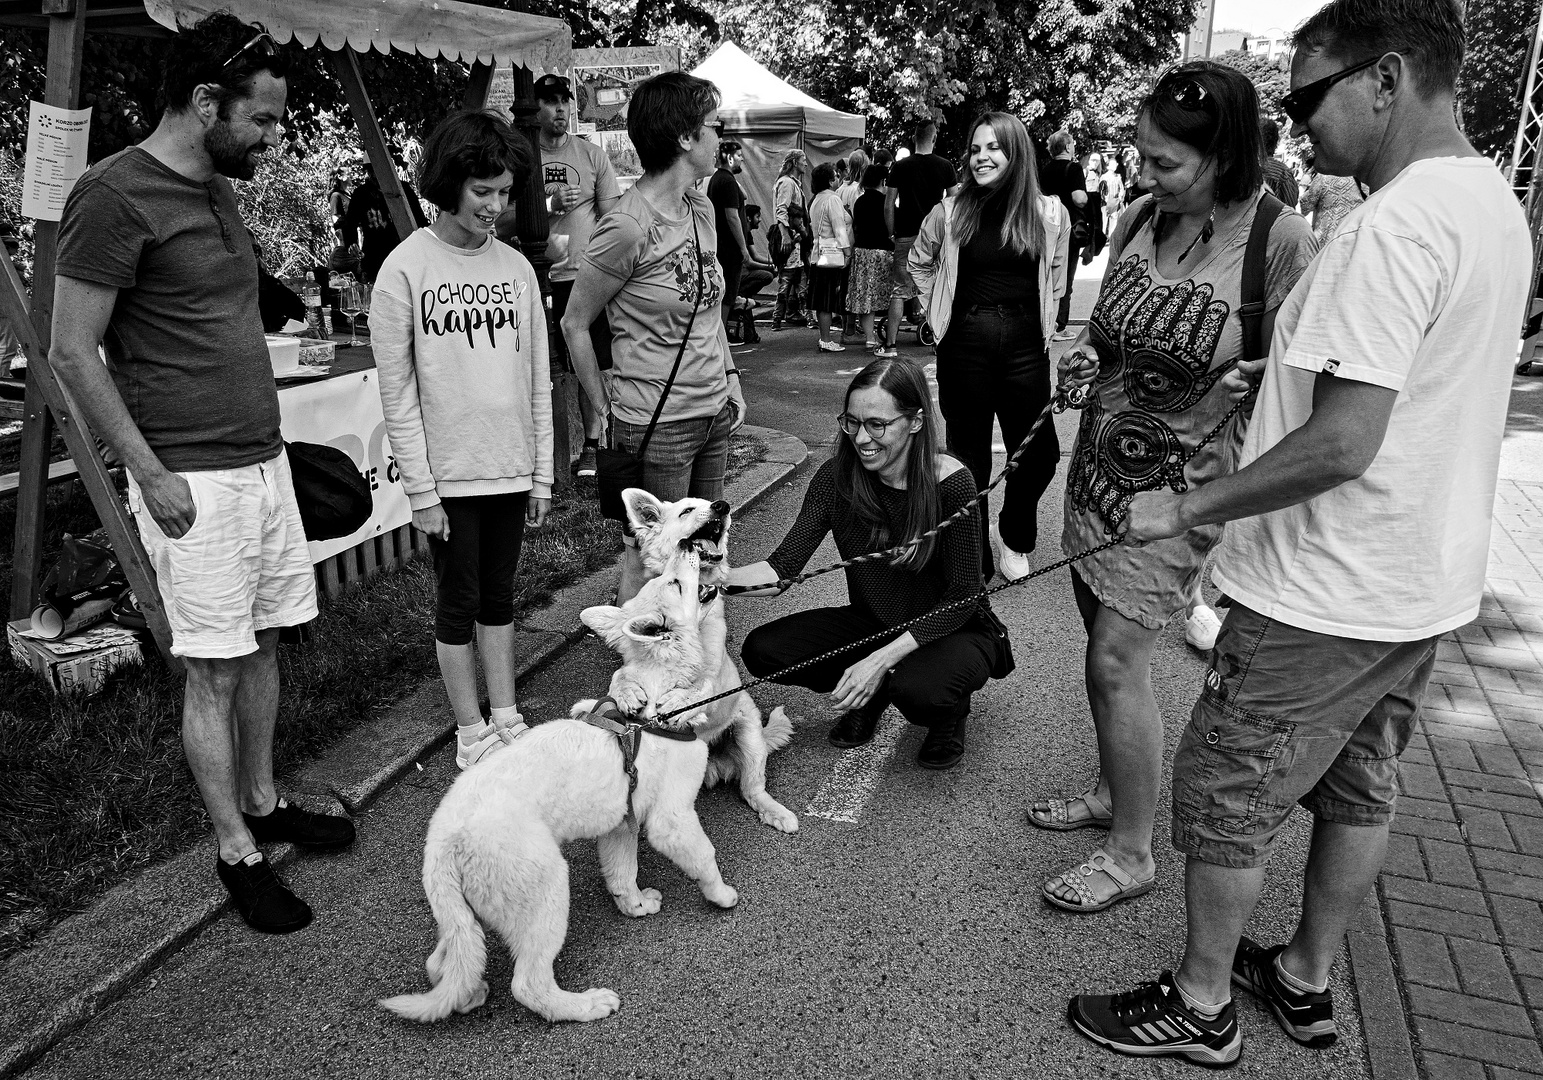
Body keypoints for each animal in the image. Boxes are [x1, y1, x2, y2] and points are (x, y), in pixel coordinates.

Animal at [374, 552, 734, 1024]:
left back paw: (471, 993)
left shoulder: (620, 824)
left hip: (465, 914)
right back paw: (586, 1004)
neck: (652, 710)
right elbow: (705, 857)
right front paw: (721, 895)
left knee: (448, 962)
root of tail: (440, 846)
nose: (695, 547)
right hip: (545, 890)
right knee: (528, 984)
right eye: (674, 581)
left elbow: (622, 873)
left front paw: (635, 905)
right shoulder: (669, 819)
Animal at [620, 490, 802, 833]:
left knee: (752, 788)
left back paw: (775, 812)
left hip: (750, 735)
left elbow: (702, 687)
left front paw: (681, 702)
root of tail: (717, 762)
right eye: (687, 510)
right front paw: (626, 693)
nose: (722, 506)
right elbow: (623, 676)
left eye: (712, 503)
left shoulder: (716, 673)